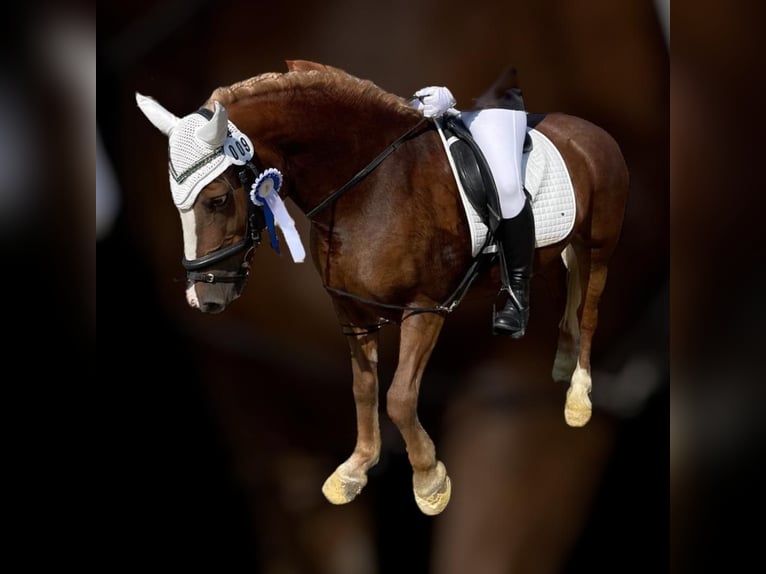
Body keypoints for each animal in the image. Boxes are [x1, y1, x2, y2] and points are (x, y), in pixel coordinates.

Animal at [136, 58, 632, 516]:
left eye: (218, 200)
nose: (204, 297)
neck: (370, 185)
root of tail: (589, 130)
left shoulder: (425, 309)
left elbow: (399, 397)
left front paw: (430, 481)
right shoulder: (351, 312)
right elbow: (364, 387)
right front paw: (355, 468)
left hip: (601, 247)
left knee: (589, 312)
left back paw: (578, 397)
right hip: (563, 250)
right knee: (567, 299)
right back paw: (561, 362)